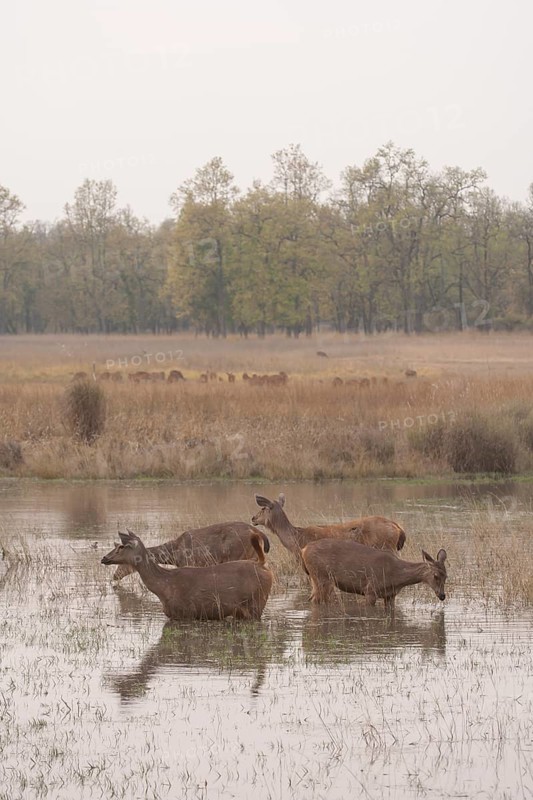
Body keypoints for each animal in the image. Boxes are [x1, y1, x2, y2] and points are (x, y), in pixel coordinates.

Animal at [101, 529, 273, 621]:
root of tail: (262, 564)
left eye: (121, 546)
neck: (163, 587)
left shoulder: (185, 614)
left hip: (256, 603)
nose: (104, 558)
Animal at [110, 522, 271, 583]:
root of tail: (260, 533)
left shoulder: (187, 562)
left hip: (238, 553)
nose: (115, 576)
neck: (173, 555)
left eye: (123, 563)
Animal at [301, 540, 447, 610]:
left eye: (446, 576)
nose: (442, 596)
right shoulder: (370, 589)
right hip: (322, 576)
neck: (396, 577)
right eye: (435, 575)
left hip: (315, 578)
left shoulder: (390, 595)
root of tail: (303, 549)